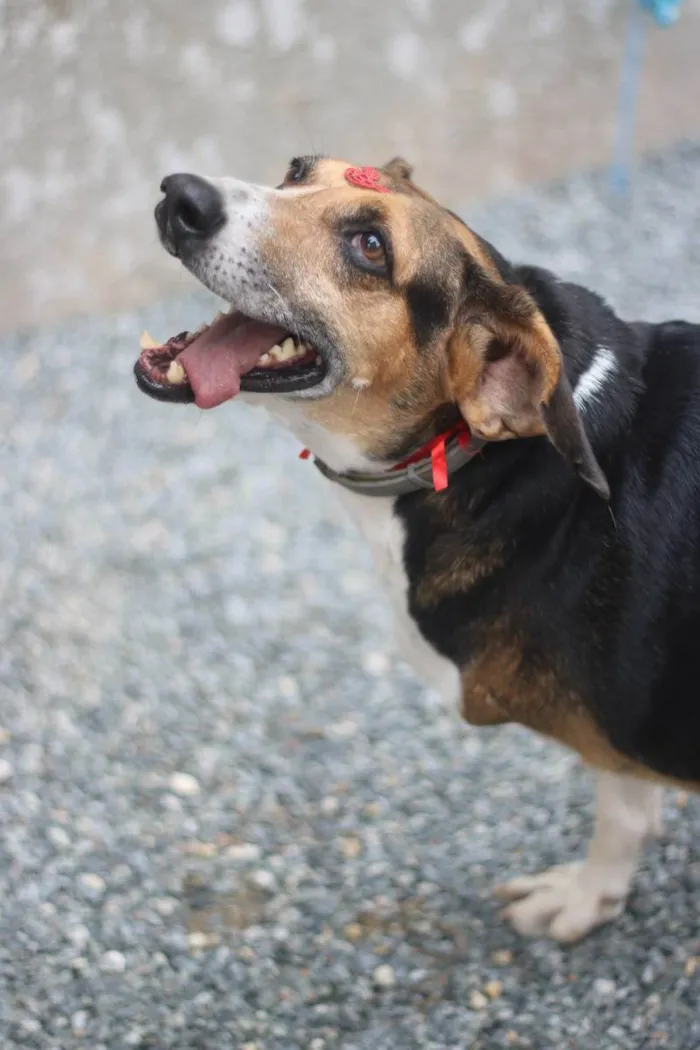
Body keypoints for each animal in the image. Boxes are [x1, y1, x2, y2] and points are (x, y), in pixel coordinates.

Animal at [135, 153, 700, 944]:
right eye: (296, 169)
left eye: (371, 247)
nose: (180, 193)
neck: (478, 451)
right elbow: (632, 805)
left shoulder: (628, 720)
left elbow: (620, 813)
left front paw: (586, 896)